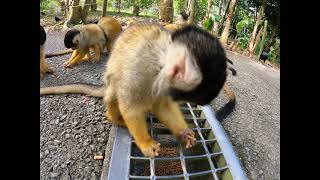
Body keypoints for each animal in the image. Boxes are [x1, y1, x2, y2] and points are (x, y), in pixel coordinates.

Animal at [40, 22, 228, 158]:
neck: (160, 63)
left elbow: (164, 106)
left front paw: (183, 133)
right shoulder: (139, 70)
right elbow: (131, 107)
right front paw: (146, 143)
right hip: (114, 81)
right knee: (116, 89)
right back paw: (117, 119)